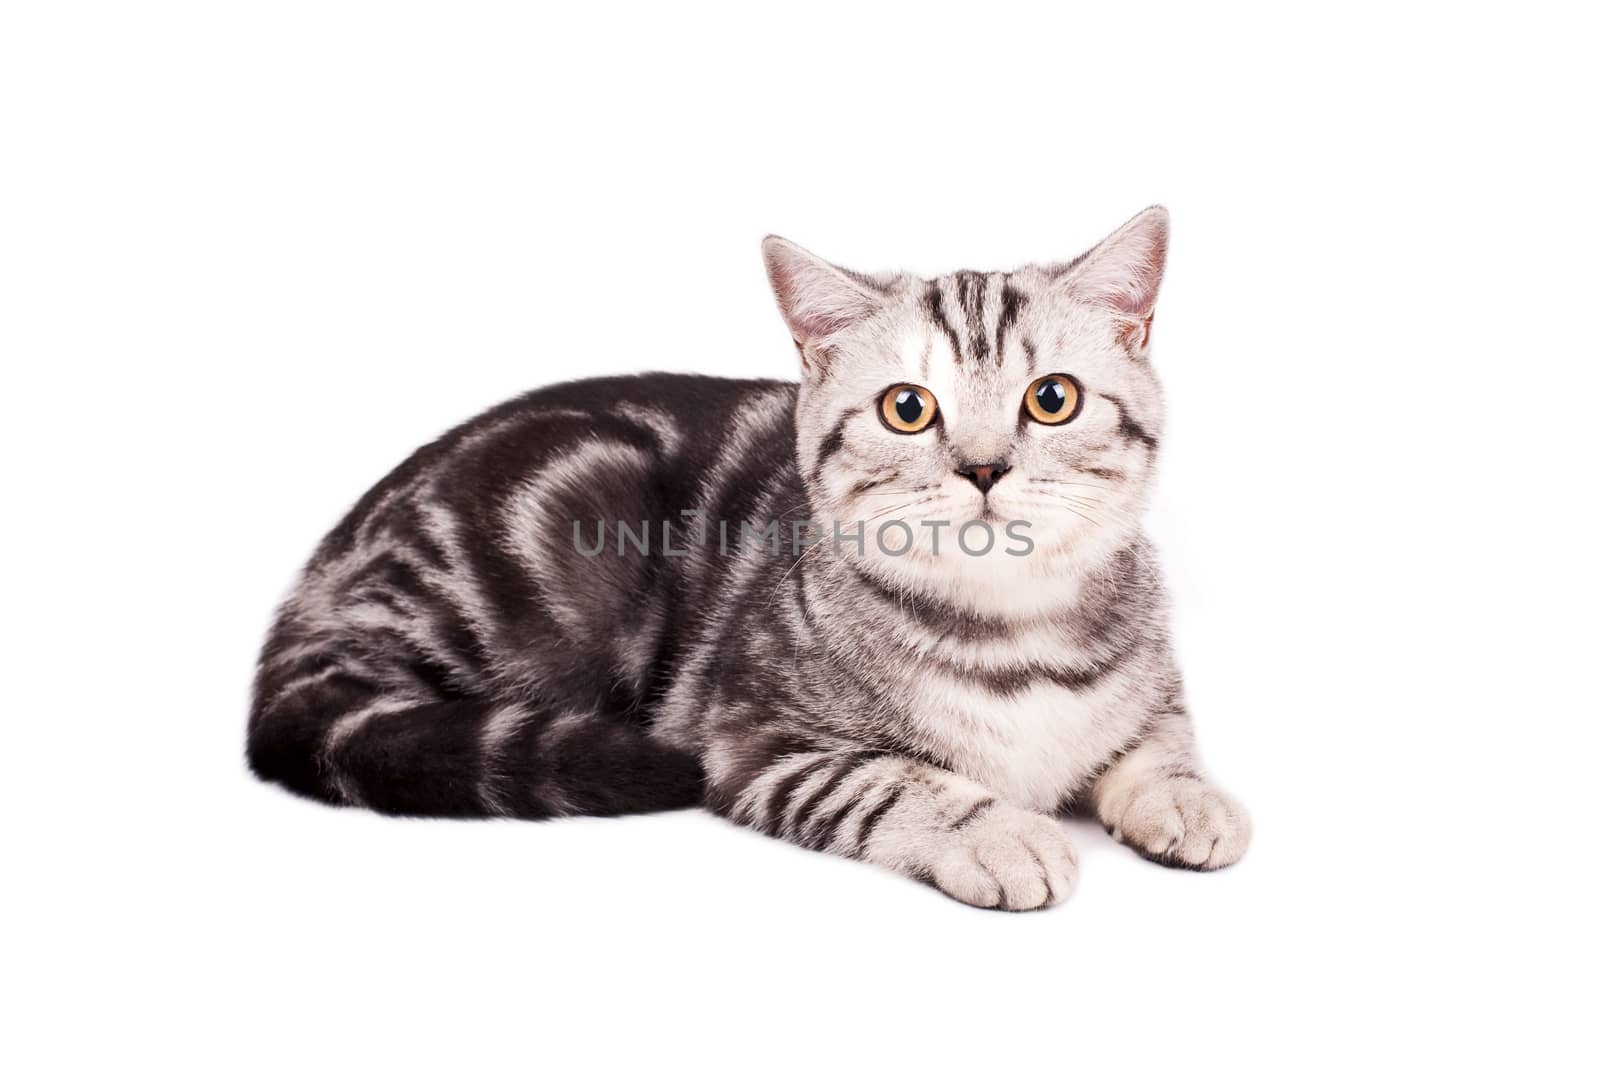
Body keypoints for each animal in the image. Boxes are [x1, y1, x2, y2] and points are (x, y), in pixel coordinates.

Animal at [249, 206, 1248, 908]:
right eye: (908, 408)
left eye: (1052, 398)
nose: (984, 466)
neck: (1016, 632)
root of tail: (322, 567)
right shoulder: (759, 738)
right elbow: (895, 780)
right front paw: (997, 829)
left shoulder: (1149, 683)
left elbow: (1160, 737)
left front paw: (1188, 796)